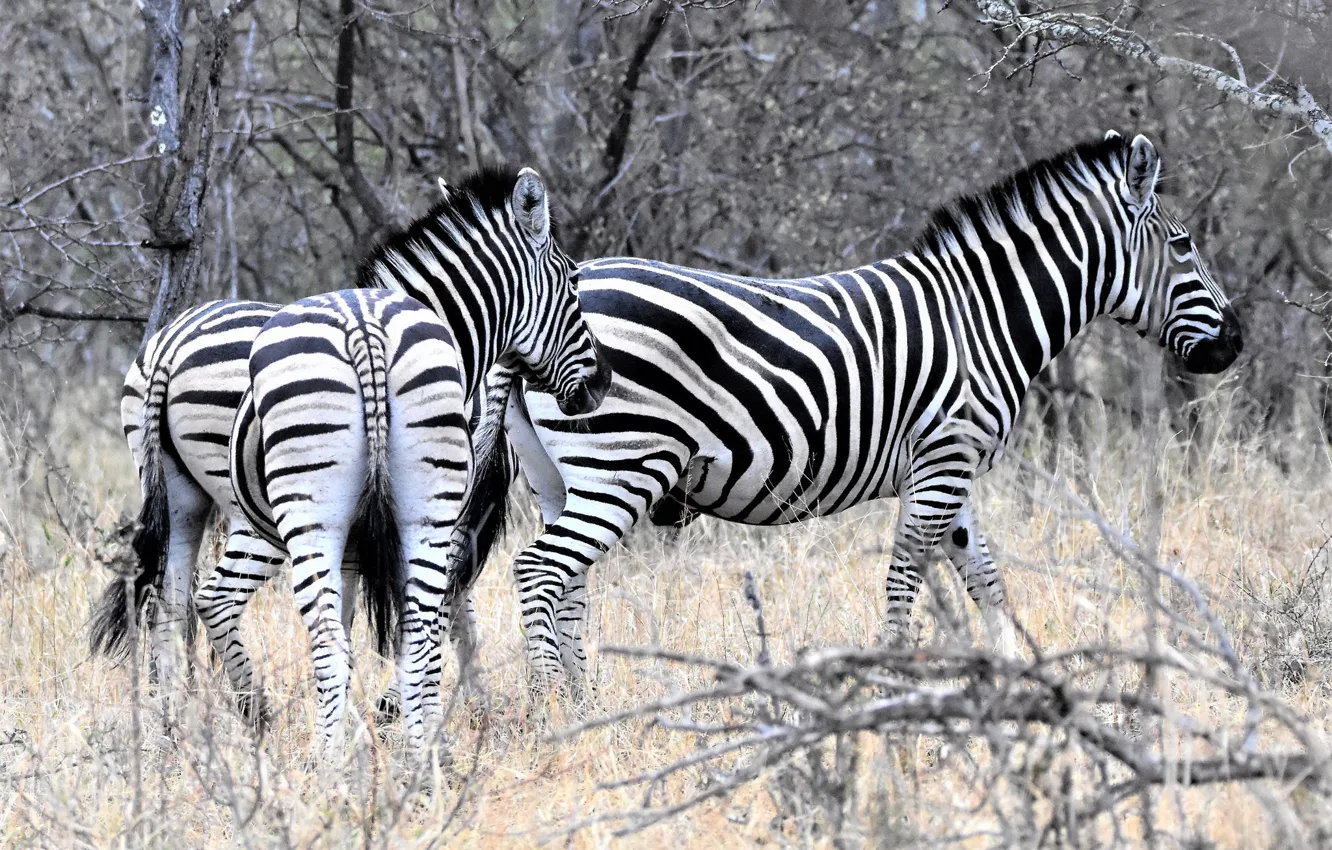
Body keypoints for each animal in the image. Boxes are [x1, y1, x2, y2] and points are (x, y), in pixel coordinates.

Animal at [91, 167, 611, 734]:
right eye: (572, 282)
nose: (602, 384)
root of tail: (169, 348)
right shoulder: (440, 513)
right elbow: (441, 614)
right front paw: (445, 710)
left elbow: (380, 617)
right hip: (263, 514)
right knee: (215, 598)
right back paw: (257, 713)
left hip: (182, 497)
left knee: (170, 602)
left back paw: (174, 726)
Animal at [470, 132, 1243, 690]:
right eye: (1183, 246)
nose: (1235, 342)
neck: (983, 316)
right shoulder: (942, 461)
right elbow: (906, 577)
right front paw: (892, 688)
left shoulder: (952, 468)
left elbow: (987, 579)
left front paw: (1016, 680)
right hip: (622, 463)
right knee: (540, 570)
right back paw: (552, 705)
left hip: (561, 476)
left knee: (568, 584)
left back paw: (584, 702)